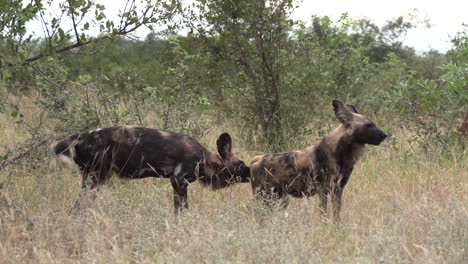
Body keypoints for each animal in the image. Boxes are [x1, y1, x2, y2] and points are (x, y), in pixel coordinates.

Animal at [53, 125, 250, 212]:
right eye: (240, 164)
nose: (250, 172)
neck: (204, 159)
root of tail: (83, 135)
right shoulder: (179, 181)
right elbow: (183, 209)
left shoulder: (177, 184)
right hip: (96, 178)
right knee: (80, 205)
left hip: (93, 178)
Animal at [250, 100, 390, 220]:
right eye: (369, 125)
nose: (385, 135)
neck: (342, 154)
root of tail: (255, 160)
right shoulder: (323, 190)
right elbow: (323, 214)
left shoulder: (337, 190)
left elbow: (336, 214)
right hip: (265, 197)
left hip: (278, 199)